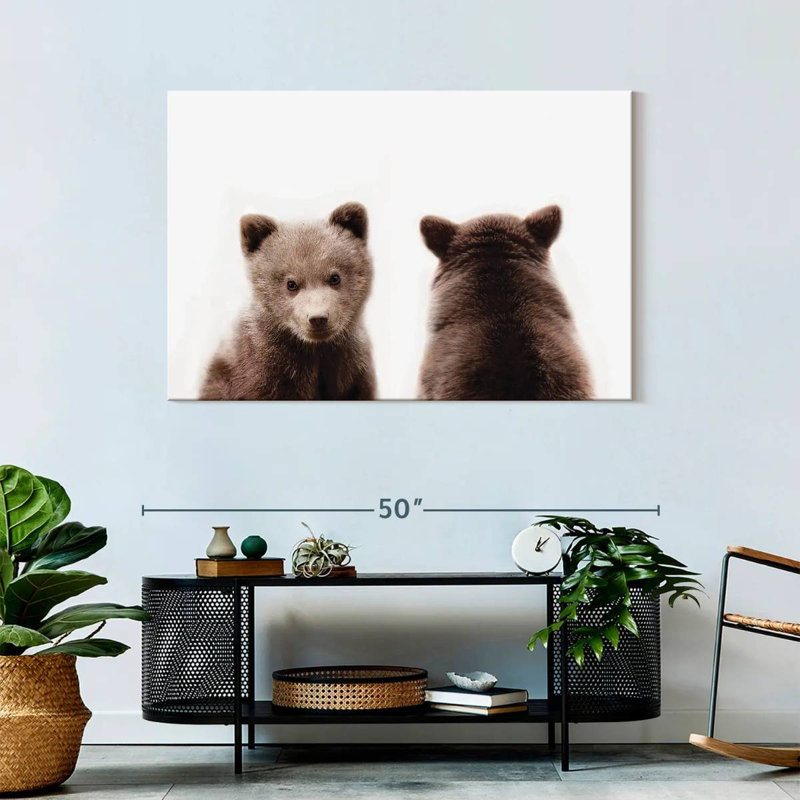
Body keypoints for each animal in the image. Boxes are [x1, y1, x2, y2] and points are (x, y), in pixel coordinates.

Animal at [200, 202, 377, 400]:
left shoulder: (352, 368)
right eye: (291, 283)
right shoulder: (261, 370)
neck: (315, 350)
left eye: (335, 277)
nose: (318, 318)